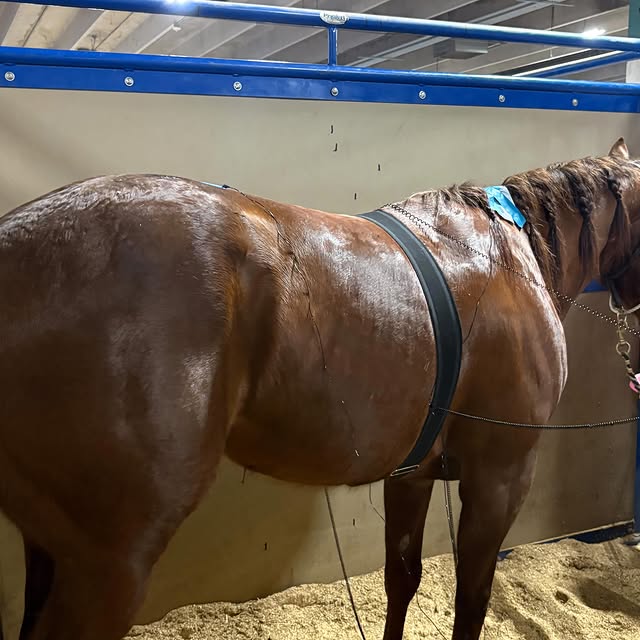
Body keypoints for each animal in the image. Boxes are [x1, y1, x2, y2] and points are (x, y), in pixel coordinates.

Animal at [0, 136, 639, 640]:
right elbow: (472, 599)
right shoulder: (501, 476)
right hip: (111, 563)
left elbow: (403, 578)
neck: (512, 256)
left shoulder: (412, 474)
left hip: (52, 545)